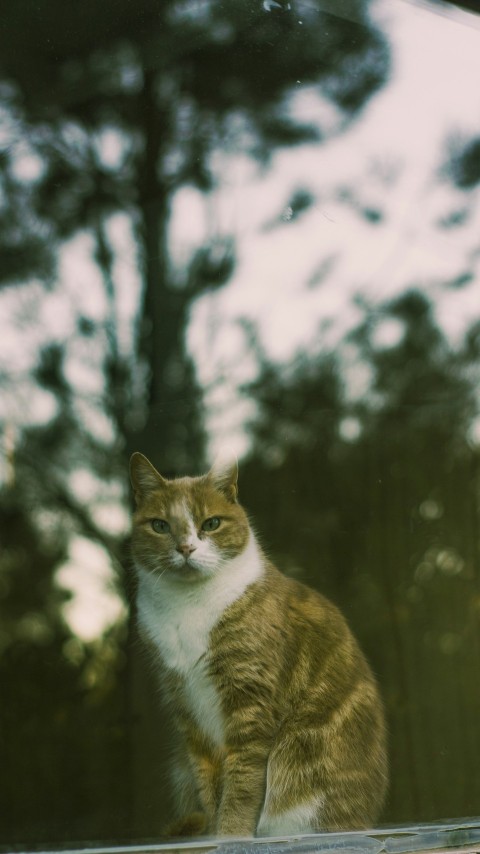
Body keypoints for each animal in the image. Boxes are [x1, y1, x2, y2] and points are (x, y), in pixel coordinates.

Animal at [129, 454, 388, 844]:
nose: (186, 548)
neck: (186, 607)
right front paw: (214, 834)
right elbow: (208, 785)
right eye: (160, 525)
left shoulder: (250, 701)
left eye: (211, 523)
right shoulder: (187, 711)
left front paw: (231, 836)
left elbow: (242, 785)